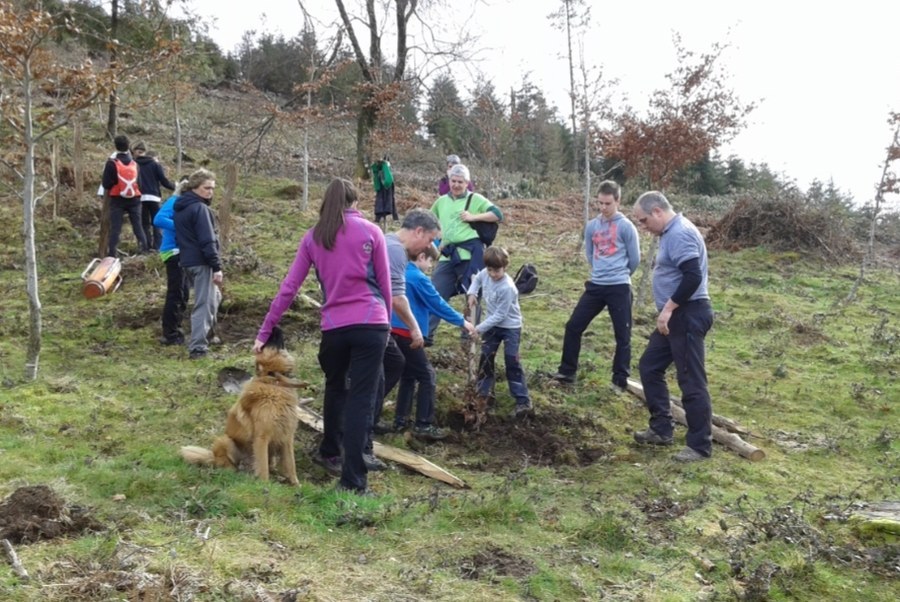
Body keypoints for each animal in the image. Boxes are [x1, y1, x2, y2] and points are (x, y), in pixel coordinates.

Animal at [179, 330, 310, 486]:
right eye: (265, 343)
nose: (273, 328)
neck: (273, 382)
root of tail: (212, 456)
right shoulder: (262, 437)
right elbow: (263, 467)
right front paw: (265, 487)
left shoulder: (287, 436)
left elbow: (291, 464)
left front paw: (296, 485)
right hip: (225, 440)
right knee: (227, 463)